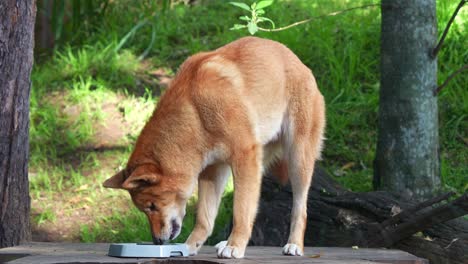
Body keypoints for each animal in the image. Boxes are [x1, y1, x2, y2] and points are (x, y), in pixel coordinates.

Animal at [103, 36, 326, 258]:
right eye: (145, 209)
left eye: (151, 206)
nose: (157, 241)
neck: (194, 112)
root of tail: (300, 64)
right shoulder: (213, 170)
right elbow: (205, 218)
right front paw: (190, 246)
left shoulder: (243, 158)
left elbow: (240, 212)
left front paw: (235, 246)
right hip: (258, 164)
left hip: (297, 162)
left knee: (300, 210)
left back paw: (294, 244)